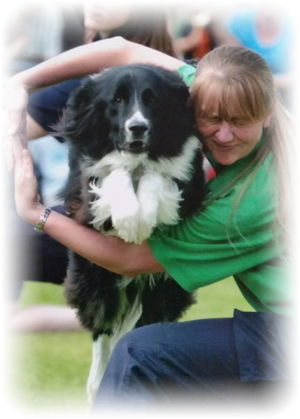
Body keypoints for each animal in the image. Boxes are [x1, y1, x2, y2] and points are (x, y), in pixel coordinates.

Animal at [59, 65, 207, 404]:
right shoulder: (84, 200)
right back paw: (97, 383)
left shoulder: (190, 189)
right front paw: (129, 221)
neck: (138, 158)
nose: (137, 128)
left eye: (152, 100)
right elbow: (114, 173)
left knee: (138, 328)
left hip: (165, 289)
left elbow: (159, 176)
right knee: (103, 326)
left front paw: (143, 219)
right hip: (93, 276)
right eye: (116, 100)